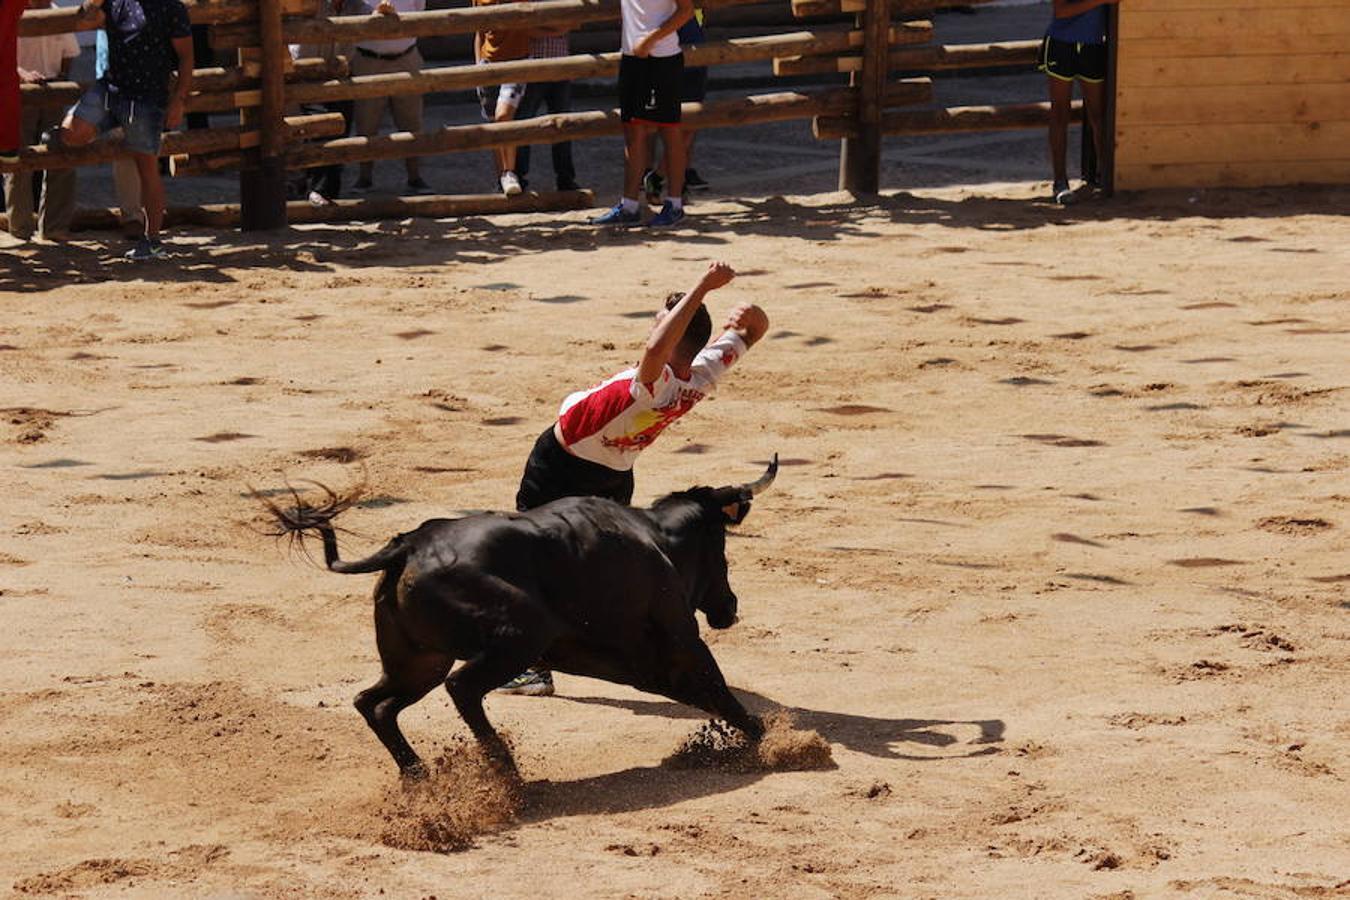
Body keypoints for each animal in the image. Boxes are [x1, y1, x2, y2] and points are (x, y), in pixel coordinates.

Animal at [260, 458, 783, 782]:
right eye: (721, 543)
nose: (729, 607)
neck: (656, 538)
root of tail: (409, 545)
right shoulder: (682, 642)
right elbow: (720, 690)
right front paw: (781, 742)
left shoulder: (650, 667)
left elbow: (712, 698)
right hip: (520, 635)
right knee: (460, 688)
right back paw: (504, 771)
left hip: (418, 660)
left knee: (375, 703)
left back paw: (419, 775)